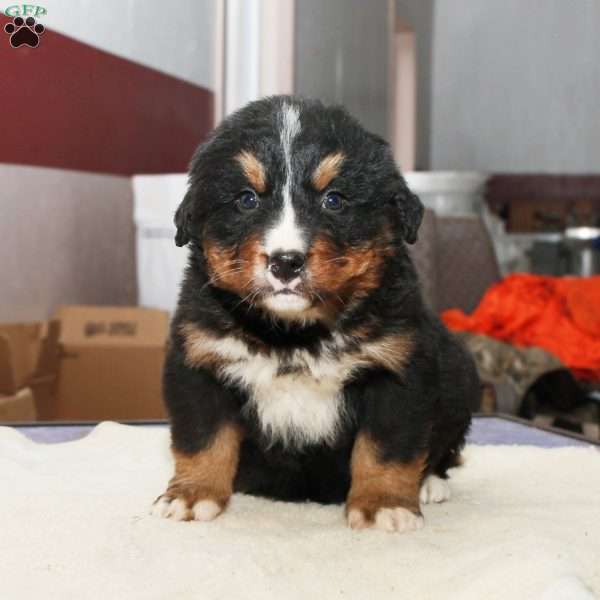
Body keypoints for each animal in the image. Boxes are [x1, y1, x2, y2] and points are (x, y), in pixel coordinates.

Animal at [152, 96, 480, 532]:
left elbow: (386, 448)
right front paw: (192, 494)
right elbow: (202, 439)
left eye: (334, 200)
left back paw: (430, 482)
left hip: (460, 376)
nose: (285, 262)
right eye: (246, 199)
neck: (295, 334)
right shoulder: (199, 363)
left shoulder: (399, 370)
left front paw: (384, 504)